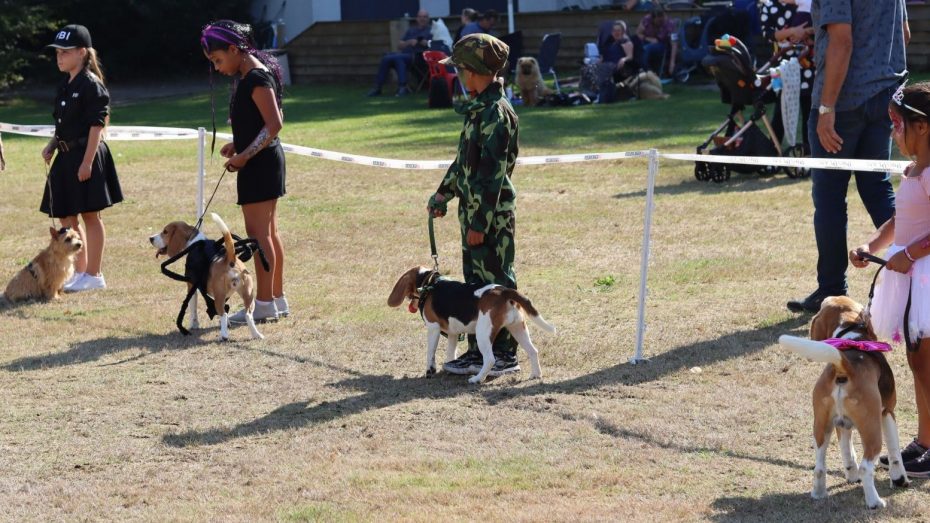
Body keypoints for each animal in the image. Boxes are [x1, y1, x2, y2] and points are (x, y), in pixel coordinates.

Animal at [388, 266, 556, 384]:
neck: (429, 283)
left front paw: (429, 371)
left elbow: (430, 353)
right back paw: (536, 375)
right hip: (517, 328)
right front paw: (450, 365)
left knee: (490, 359)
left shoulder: (433, 328)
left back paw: (477, 379)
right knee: (533, 351)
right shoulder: (453, 333)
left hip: (483, 333)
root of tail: (504, 291)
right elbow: (451, 352)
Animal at [776, 296, 908, 510]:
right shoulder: (887, 412)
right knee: (866, 467)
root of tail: (844, 366)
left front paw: (850, 473)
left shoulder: (841, 424)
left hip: (821, 426)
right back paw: (874, 502)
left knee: (819, 467)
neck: (852, 337)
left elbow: (847, 452)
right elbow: (895, 451)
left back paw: (818, 493)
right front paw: (899, 479)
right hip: (872, 431)